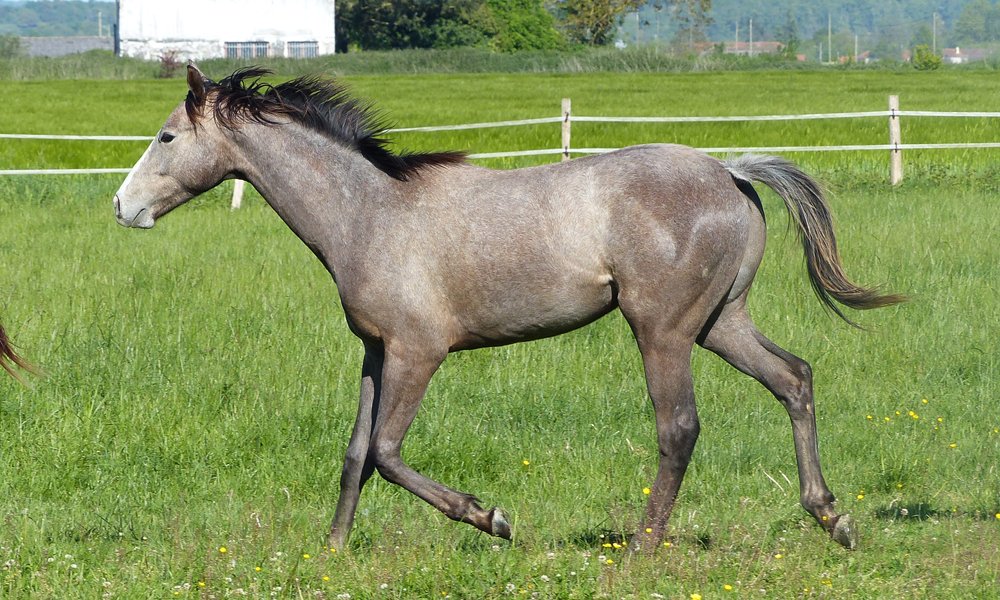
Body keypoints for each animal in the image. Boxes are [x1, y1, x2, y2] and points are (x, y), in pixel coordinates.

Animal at [113, 65, 903, 552]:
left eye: (166, 136)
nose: (122, 207)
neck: (369, 212)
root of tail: (732, 172)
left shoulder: (419, 351)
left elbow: (388, 453)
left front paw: (491, 517)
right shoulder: (376, 351)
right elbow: (355, 454)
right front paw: (331, 551)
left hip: (663, 330)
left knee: (679, 428)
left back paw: (640, 549)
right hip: (721, 322)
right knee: (794, 378)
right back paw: (832, 518)